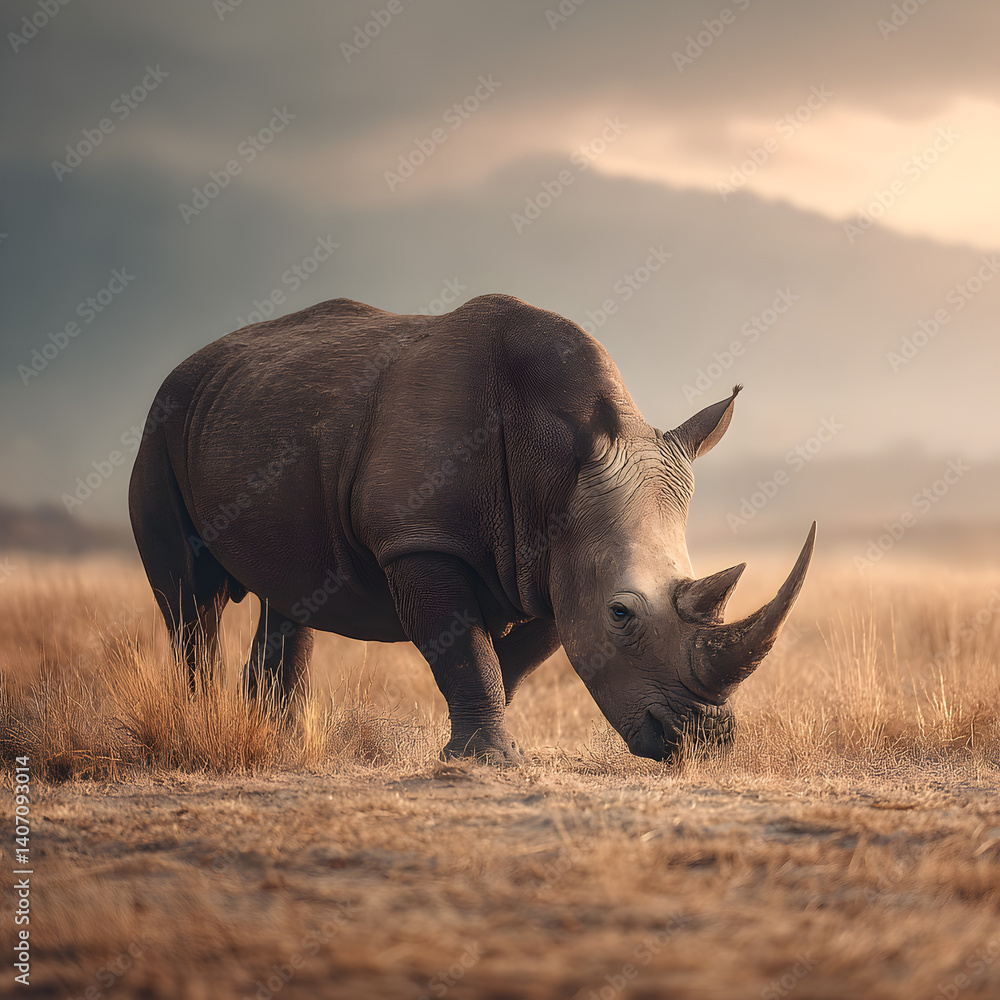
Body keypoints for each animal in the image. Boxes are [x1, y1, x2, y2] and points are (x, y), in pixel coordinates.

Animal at [129, 293, 814, 764]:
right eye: (621, 614)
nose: (702, 740)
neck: (553, 466)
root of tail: (196, 360)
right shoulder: (421, 540)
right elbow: (465, 647)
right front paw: (487, 759)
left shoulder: (553, 558)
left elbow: (506, 661)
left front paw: (475, 749)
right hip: (162, 419)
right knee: (189, 597)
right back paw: (204, 725)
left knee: (290, 591)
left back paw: (282, 742)